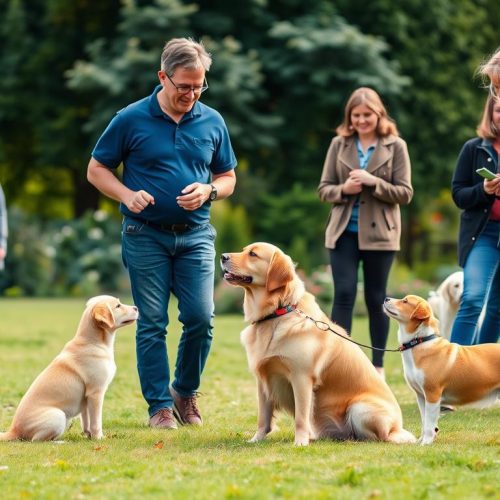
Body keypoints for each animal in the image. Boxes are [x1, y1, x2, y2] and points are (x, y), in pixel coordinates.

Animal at [0, 294, 137, 444]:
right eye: (118, 306)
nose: (136, 308)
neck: (92, 342)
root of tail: (13, 430)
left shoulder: (87, 398)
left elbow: (86, 421)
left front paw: (89, 436)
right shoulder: (96, 393)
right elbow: (96, 422)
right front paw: (99, 438)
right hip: (58, 416)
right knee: (36, 440)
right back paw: (59, 442)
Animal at [221, 242, 416, 446]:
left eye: (253, 254)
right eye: (244, 250)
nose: (222, 256)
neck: (279, 311)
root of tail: (398, 427)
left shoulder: (301, 378)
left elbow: (301, 417)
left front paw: (300, 442)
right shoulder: (263, 379)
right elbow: (263, 418)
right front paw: (256, 439)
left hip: (360, 408)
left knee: (380, 437)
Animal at [384, 294, 498, 444]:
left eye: (405, 301)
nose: (386, 298)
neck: (419, 341)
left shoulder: (432, 394)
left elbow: (429, 423)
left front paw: (426, 443)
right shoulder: (421, 396)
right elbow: (424, 421)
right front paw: (421, 441)